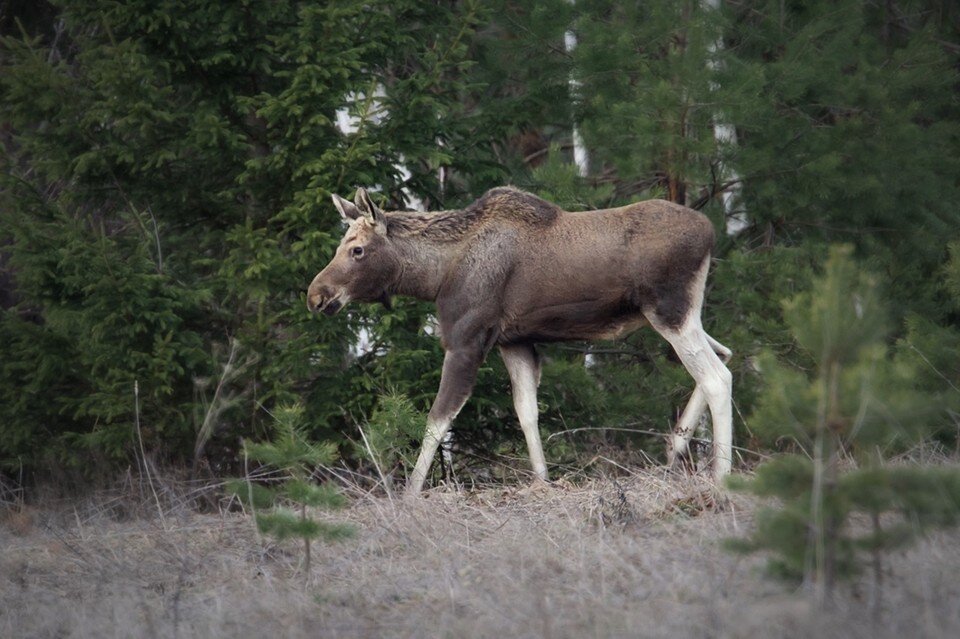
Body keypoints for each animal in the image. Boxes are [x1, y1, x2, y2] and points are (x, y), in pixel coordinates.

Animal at [310, 188, 736, 498]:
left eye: (357, 249)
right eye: (340, 246)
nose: (316, 295)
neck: (435, 276)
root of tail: (710, 232)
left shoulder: (466, 339)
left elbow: (438, 417)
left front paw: (411, 493)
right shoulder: (514, 341)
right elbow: (526, 411)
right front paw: (542, 481)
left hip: (669, 311)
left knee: (718, 376)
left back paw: (720, 475)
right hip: (681, 314)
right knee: (724, 354)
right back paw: (675, 447)